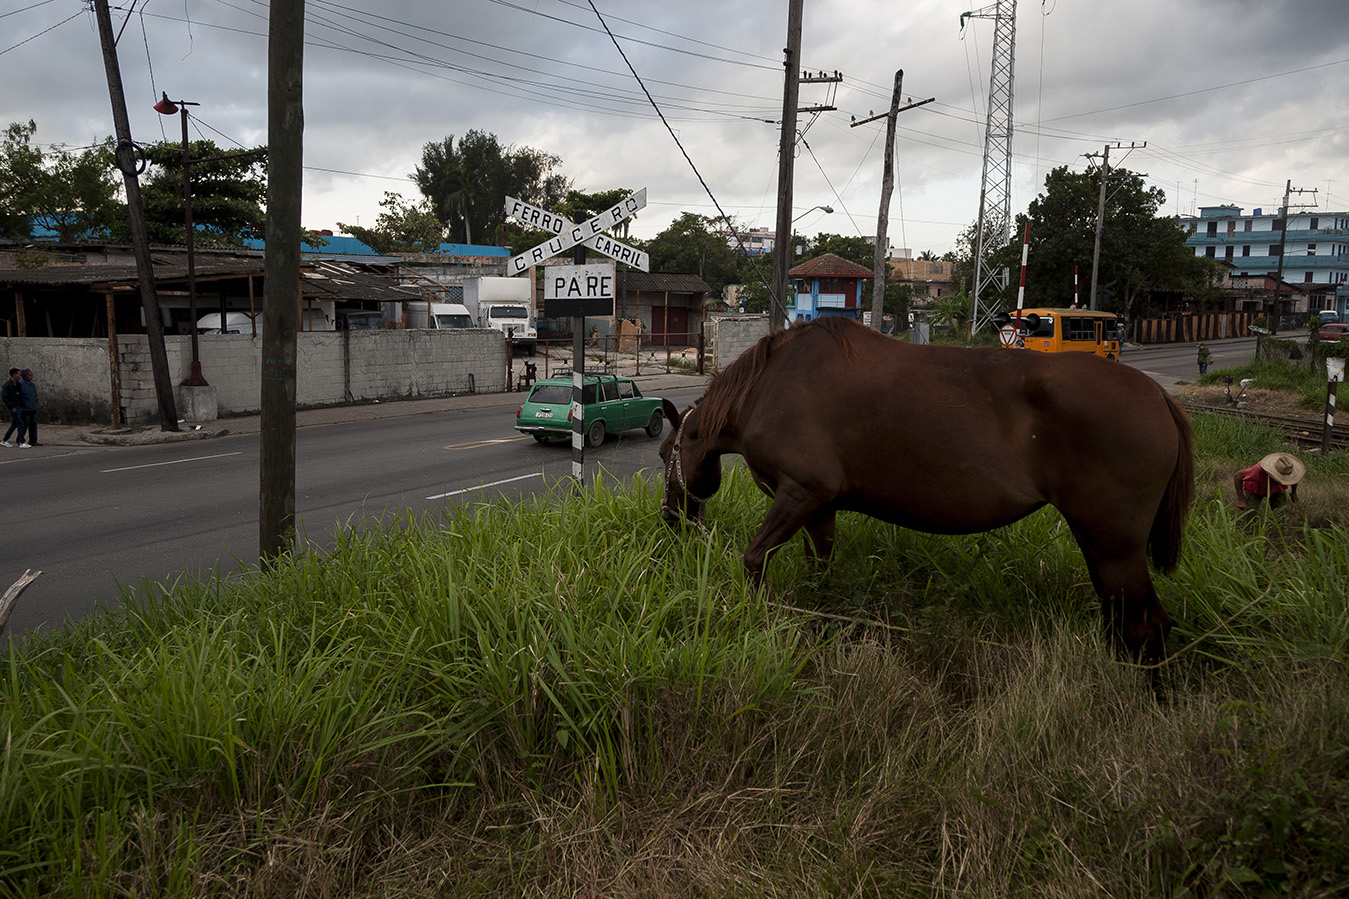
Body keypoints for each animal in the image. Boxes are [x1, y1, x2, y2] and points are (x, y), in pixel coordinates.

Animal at [658, 314, 1197, 658]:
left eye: (666, 455)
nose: (669, 517)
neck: (766, 387)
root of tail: (1159, 396)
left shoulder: (800, 493)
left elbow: (754, 560)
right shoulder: (819, 508)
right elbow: (819, 575)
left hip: (1115, 544)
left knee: (1145, 625)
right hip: (1098, 541)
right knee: (1125, 619)